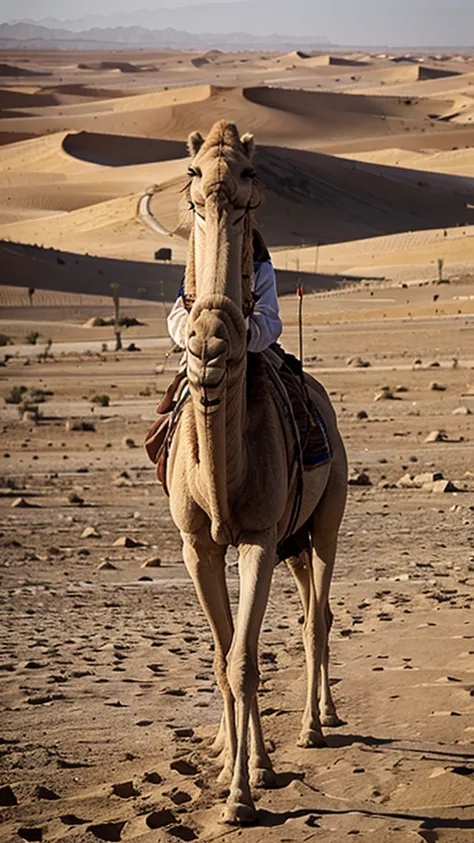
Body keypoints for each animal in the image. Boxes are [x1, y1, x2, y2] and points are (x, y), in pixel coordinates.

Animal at [167, 120, 348, 824]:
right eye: (191, 179)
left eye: (250, 181)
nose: (212, 337)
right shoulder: (199, 544)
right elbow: (224, 657)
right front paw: (234, 767)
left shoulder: (258, 537)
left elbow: (245, 659)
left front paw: (242, 796)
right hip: (289, 542)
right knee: (301, 617)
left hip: (322, 522)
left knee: (317, 617)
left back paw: (315, 725)